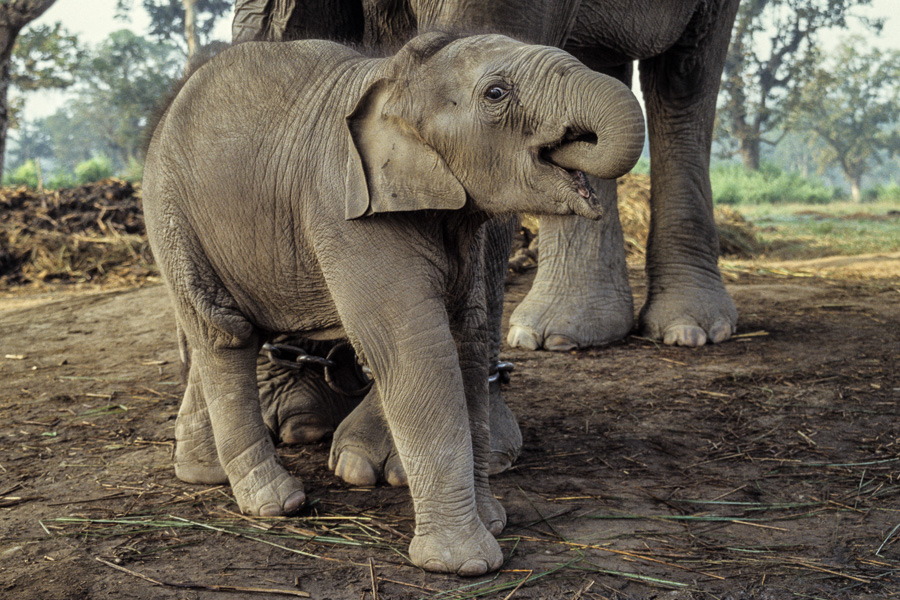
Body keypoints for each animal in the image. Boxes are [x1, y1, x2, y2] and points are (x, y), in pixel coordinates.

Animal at [144, 30, 644, 576]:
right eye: (496, 93)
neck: (401, 76)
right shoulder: (349, 215)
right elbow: (416, 348)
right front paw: (464, 564)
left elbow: (466, 341)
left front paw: (493, 523)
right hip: (171, 213)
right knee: (225, 334)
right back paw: (276, 503)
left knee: (214, 331)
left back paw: (203, 473)